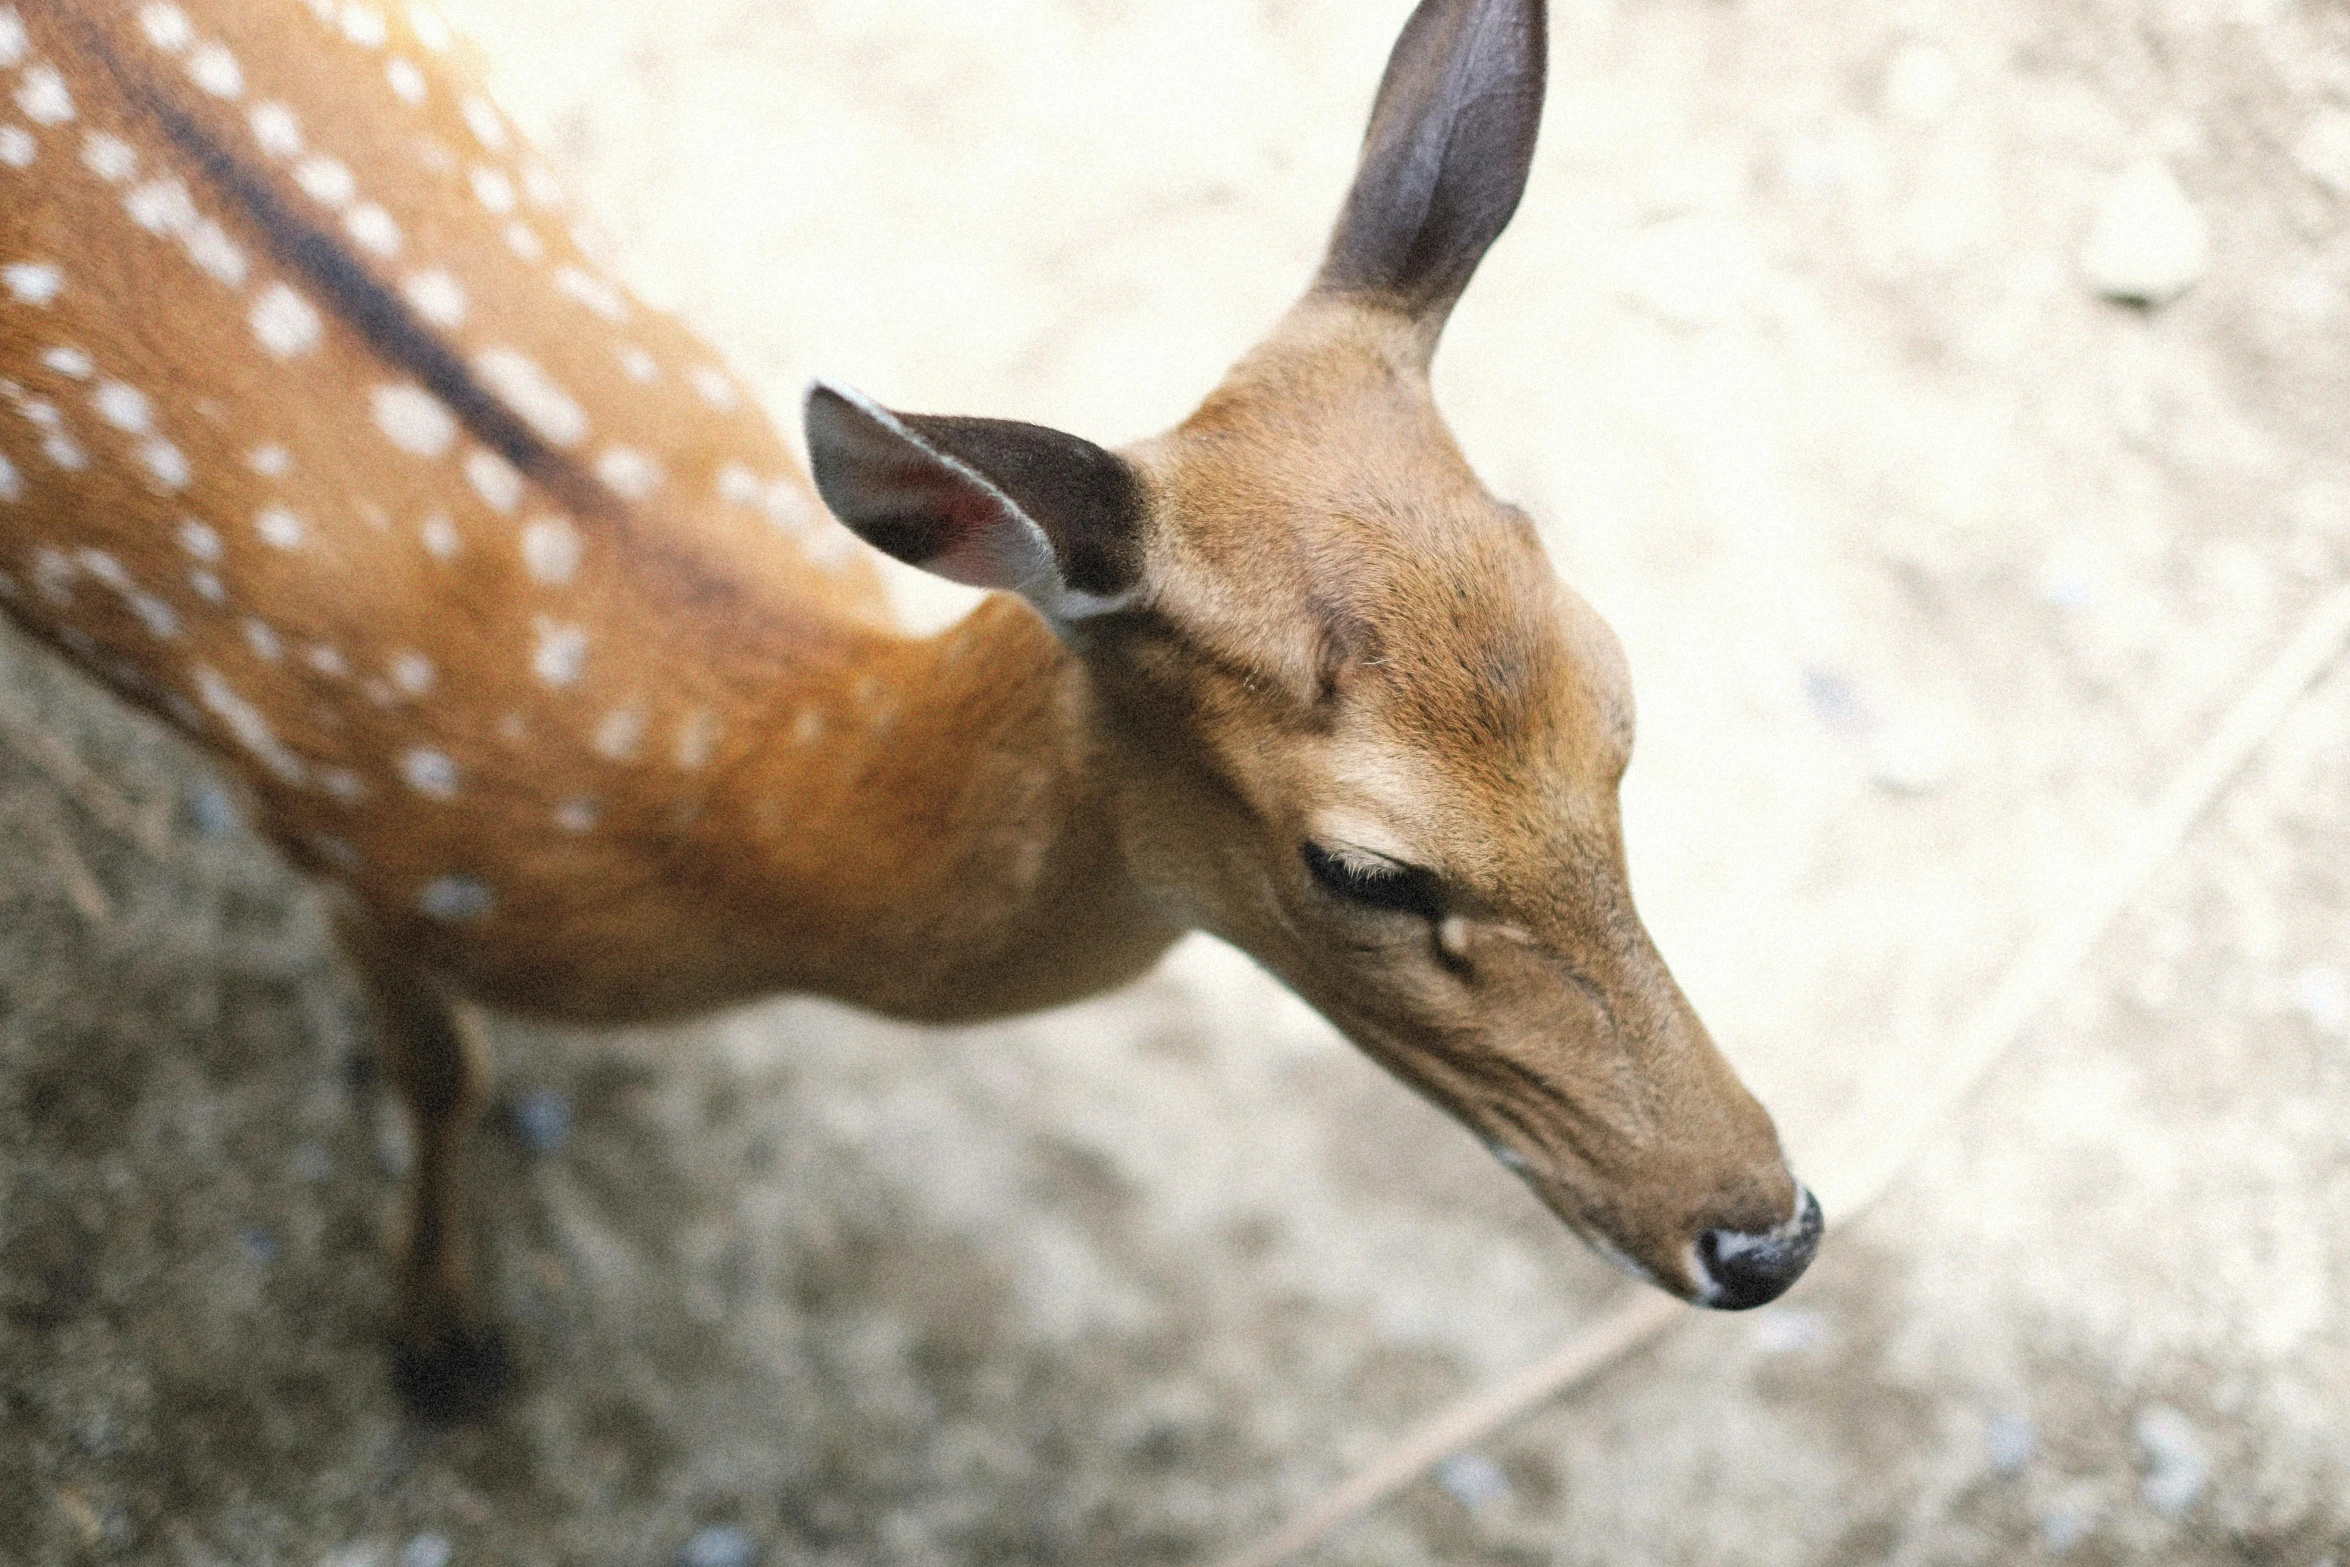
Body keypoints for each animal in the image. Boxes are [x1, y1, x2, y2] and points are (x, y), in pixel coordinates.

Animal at [0, 0, 1823, 1418]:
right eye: (1364, 866)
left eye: (1621, 697)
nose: (1768, 1232)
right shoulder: (322, 810)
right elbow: (436, 1070)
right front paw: (442, 1340)